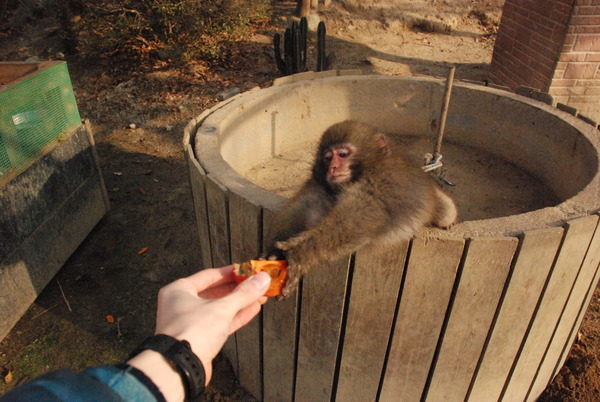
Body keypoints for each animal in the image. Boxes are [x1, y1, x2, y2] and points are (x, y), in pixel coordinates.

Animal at [264, 119, 458, 296]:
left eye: (343, 154)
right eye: (328, 158)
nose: (333, 168)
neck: (368, 168)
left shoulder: (386, 179)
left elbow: (362, 216)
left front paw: (303, 253)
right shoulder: (319, 189)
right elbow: (305, 211)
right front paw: (278, 249)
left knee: (445, 211)